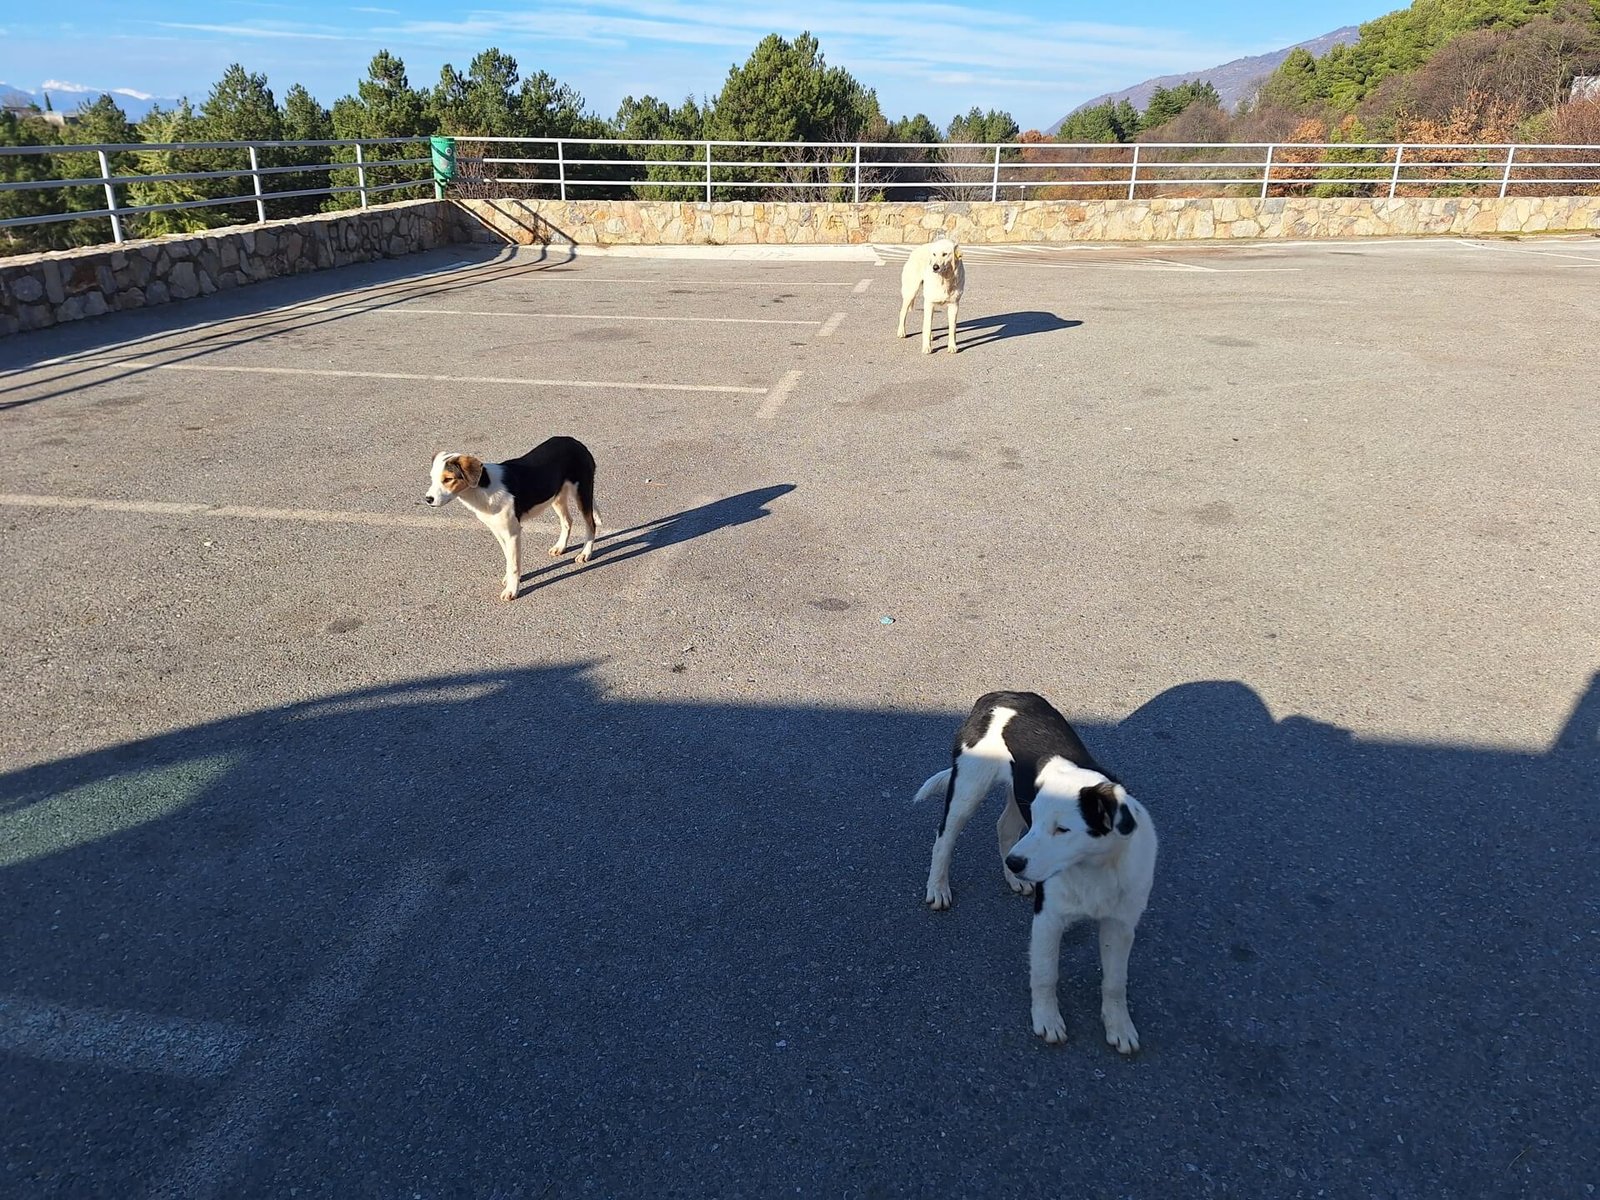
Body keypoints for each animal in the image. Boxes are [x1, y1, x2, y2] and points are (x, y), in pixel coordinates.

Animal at [425, 438, 601, 601]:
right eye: (432, 478)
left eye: (448, 479)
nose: (428, 499)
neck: (483, 489)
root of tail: (576, 442)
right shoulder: (498, 531)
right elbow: (509, 560)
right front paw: (510, 580)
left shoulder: (512, 533)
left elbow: (514, 564)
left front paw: (512, 590)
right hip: (556, 495)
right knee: (567, 521)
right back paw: (560, 547)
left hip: (582, 493)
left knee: (591, 525)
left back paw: (585, 553)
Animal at [915, 694, 1164, 1049]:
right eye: (1042, 822)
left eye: (1062, 829)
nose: (1015, 864)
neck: (1093, 868)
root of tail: (997, 695)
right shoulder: (1048, 919)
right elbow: (1046, 974)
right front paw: (1047, 1020)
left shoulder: (1120, 925)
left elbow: (1116, 982)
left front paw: (1119, 1026)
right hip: (968, 788)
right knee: (944, 839)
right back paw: (939, 887)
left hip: (1014, 796)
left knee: (1004, 827)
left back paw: (1013, 879)